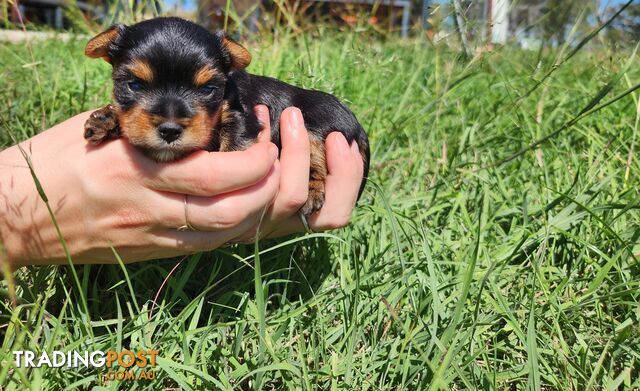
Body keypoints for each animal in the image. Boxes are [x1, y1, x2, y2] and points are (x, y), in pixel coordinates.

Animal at [84, 16, 370, 216]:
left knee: (317, 157)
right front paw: (105, 119)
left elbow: (234, 143)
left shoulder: (241, 117)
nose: (170, 129)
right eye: (134, 85)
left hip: (320, 122)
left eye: (207, 89)